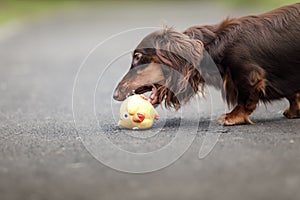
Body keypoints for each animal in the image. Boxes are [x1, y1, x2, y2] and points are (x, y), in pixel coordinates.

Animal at [113, 3, 300, 125]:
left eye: (138, 56)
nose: (115, 95)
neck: (215, 45)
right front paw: (294, 110)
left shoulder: (248, 75)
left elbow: (245, 98)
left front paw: (232, 116)